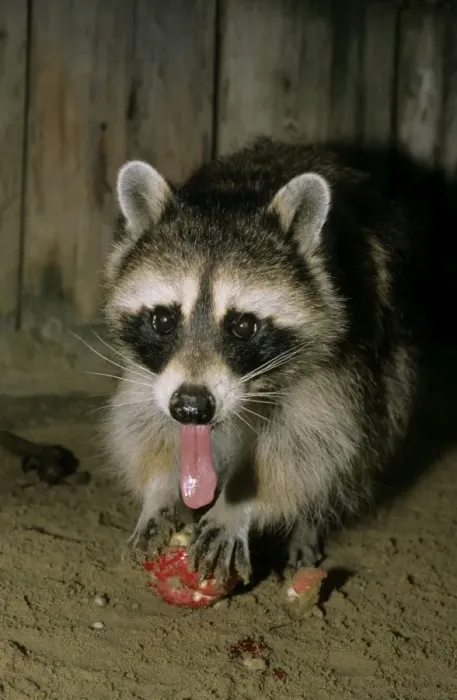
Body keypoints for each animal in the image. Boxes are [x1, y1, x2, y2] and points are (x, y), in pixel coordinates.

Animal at [102, 137, 417, 583]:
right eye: (163, 320)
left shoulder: (339, 360)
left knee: (358, 449)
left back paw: (308, 525)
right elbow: (142, 421)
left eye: (244, 326)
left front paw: (237, 506)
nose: (192, 408)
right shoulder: (152, 375)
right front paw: (160, 490)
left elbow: (311, 444)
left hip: (391, 368)